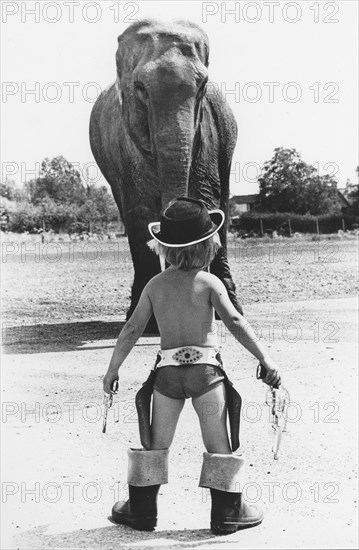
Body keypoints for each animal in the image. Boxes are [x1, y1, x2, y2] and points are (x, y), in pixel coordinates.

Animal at [89, 18, 243, 332]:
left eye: (202, 86)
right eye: (139, 88)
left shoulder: (207, 133)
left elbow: (207, 199)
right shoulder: (125, 143)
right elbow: (138, 212)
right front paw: (148, 325)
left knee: (223, 202)